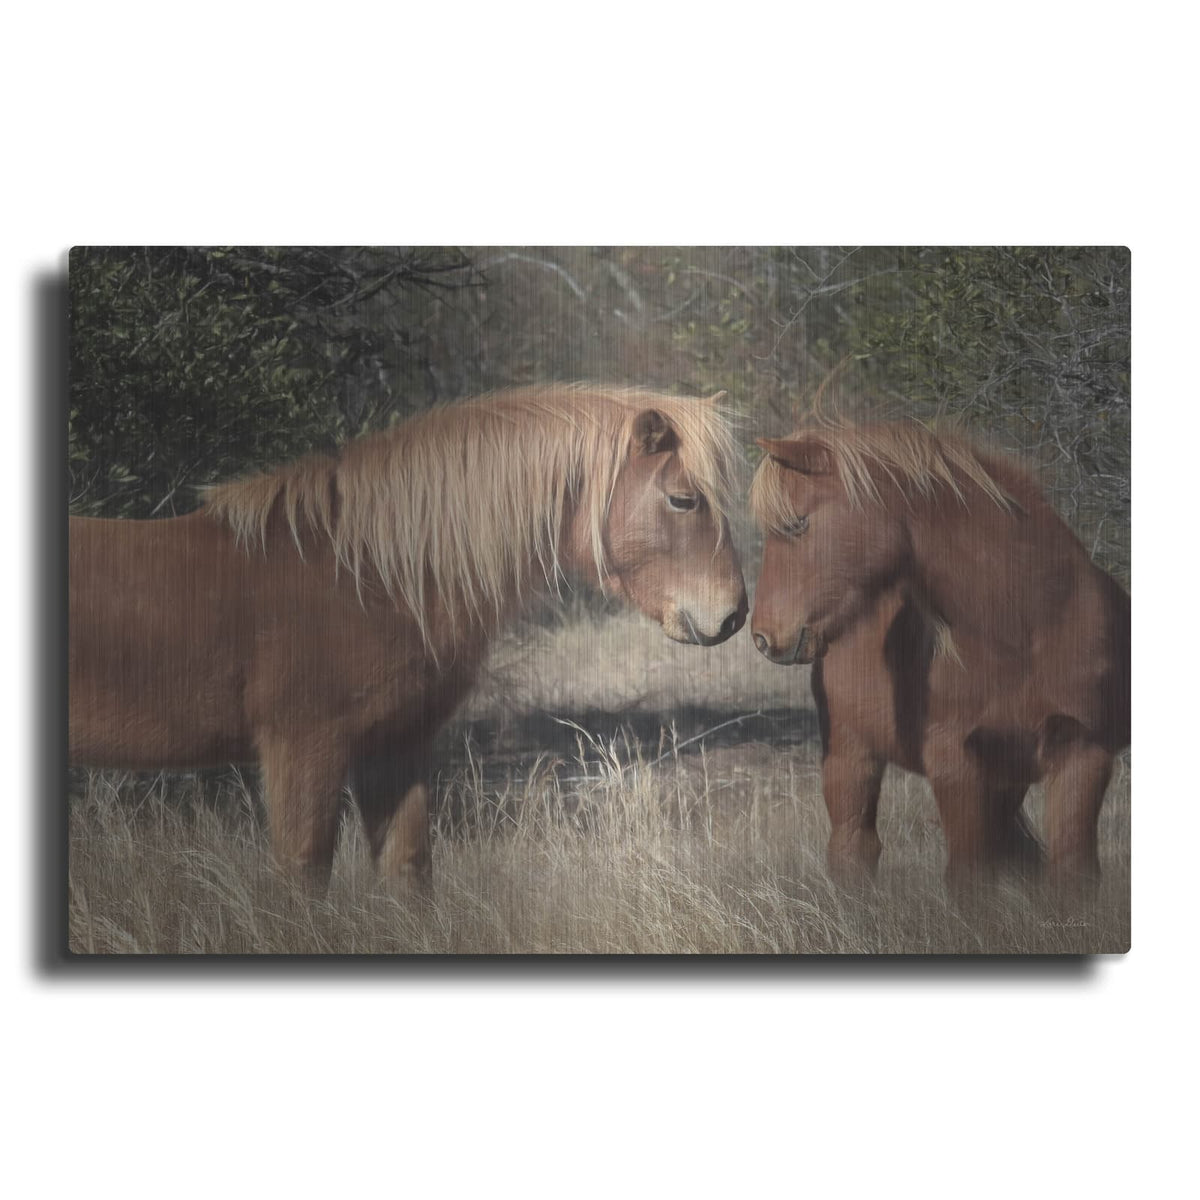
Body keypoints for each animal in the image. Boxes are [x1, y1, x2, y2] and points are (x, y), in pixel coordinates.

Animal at [70, 385, 748, 892]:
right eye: (682, 500)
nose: (734, 615)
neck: (364, 577)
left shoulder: (394, 747)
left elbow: (409, 871)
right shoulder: (302, 750)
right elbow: (303, 877)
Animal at [748, 419, 1129, 888]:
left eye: (797, 524)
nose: (764, 637)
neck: (1031, 626)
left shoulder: (1083, 754)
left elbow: (1072, 873)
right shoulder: (954, 763)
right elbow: (970, 878)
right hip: (850, 755)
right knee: (853, 849)